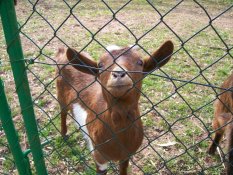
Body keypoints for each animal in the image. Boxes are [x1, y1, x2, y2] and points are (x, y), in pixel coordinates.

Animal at [55, 40, 174, 174]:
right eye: (100, 65)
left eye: (140, 62)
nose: (119, 73)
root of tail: (62, 53)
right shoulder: (99, 156)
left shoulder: (126, 155)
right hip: (61, 94)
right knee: (63, 111)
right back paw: (64, 134)